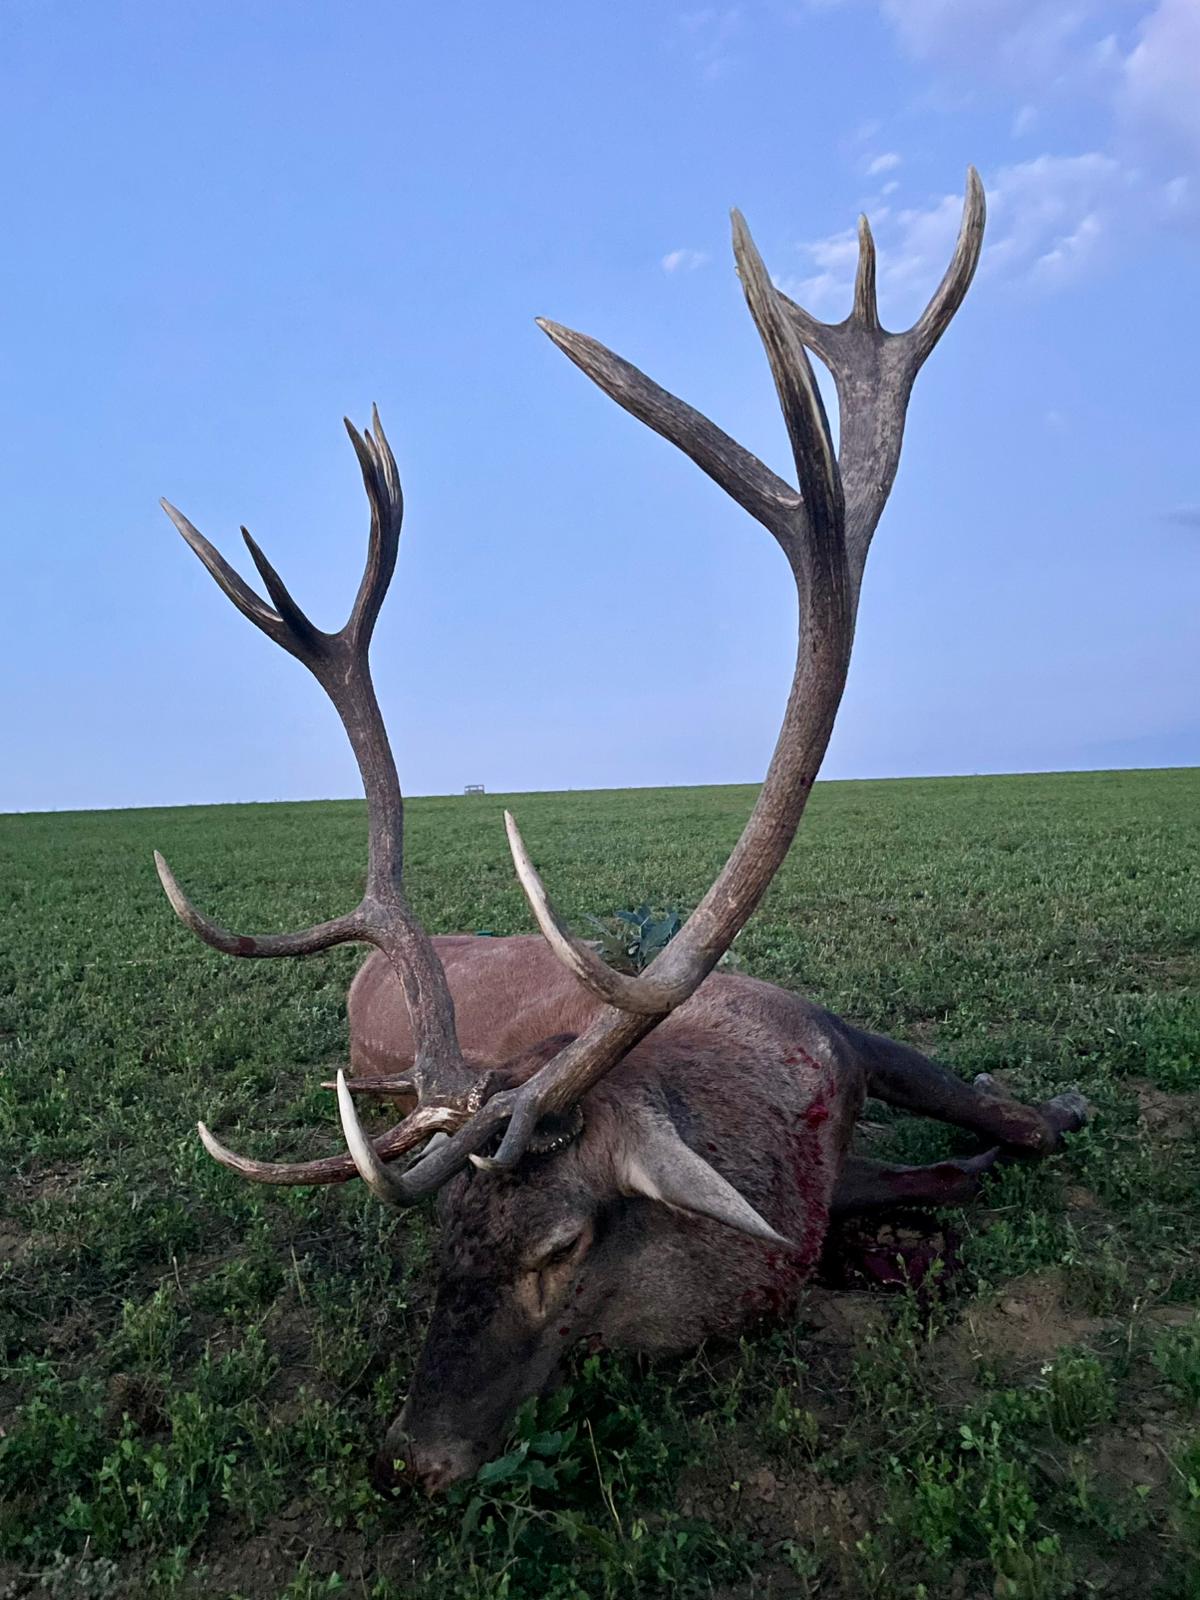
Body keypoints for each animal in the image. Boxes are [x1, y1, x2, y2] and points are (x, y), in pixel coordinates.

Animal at [154, 169, 1087, 1494]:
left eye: (560, 1245)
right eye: (441, 1240)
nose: (412, 1457)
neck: (782, 1151)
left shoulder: (836, 1027)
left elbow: (992, 1119)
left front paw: (1050, 1112)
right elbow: (943, 1175)